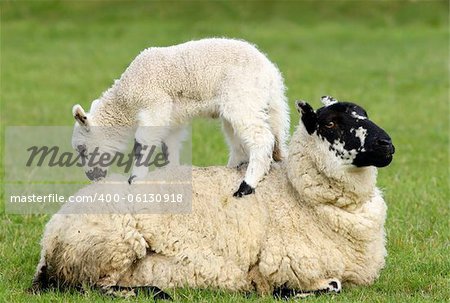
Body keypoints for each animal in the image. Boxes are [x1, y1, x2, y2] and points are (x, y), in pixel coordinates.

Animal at [33, 97, 396, 300]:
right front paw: (281, 293)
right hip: (109, 245)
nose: (387, 145)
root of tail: (49, 239)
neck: (296, 193)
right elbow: (331, 284)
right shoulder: (277, 265)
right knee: (91, 287)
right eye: (331, 123)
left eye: (364, 113)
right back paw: (154, 293)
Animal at [70, 37, 288, 197]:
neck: (127, 101)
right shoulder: (172, 118)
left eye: (82, 149)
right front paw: (172, 175)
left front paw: (135, 179)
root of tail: (271, 73)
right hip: (253, 105)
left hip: (242, 97)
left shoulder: (155, 104)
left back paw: (246, 186)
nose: (92, 177)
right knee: (243, 144)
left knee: (261, 138)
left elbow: (143, 141)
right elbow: (169, 147)